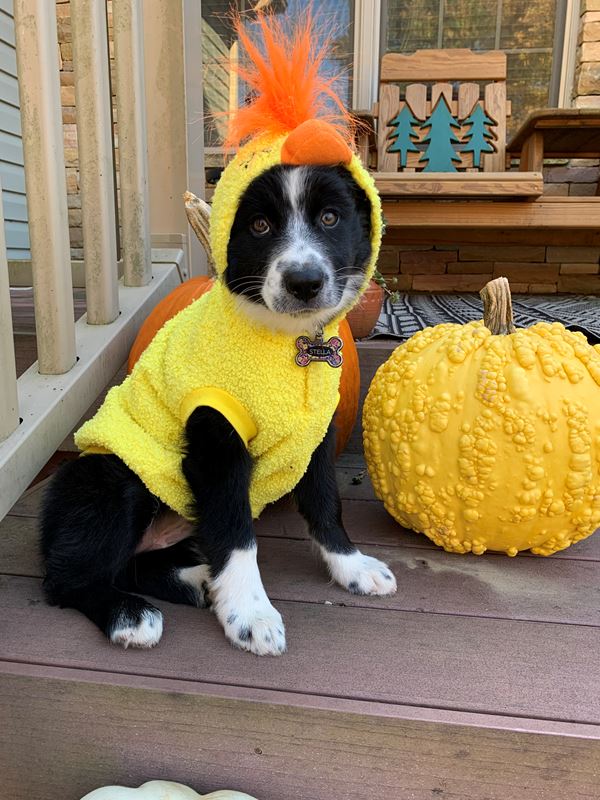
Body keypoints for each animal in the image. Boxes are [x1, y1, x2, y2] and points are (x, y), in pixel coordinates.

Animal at [41, 164, 398, 656]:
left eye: (330, 217)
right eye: (260, 225)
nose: (304, 283)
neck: (290, 345)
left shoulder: (317, 434)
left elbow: (326, 502)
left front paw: (353, 567)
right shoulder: (216, 438)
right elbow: (234, 531)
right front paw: (250, 615)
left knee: (138, 565)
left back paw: (199, 582)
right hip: (110, 477)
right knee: (67, 579)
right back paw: (128, 614)